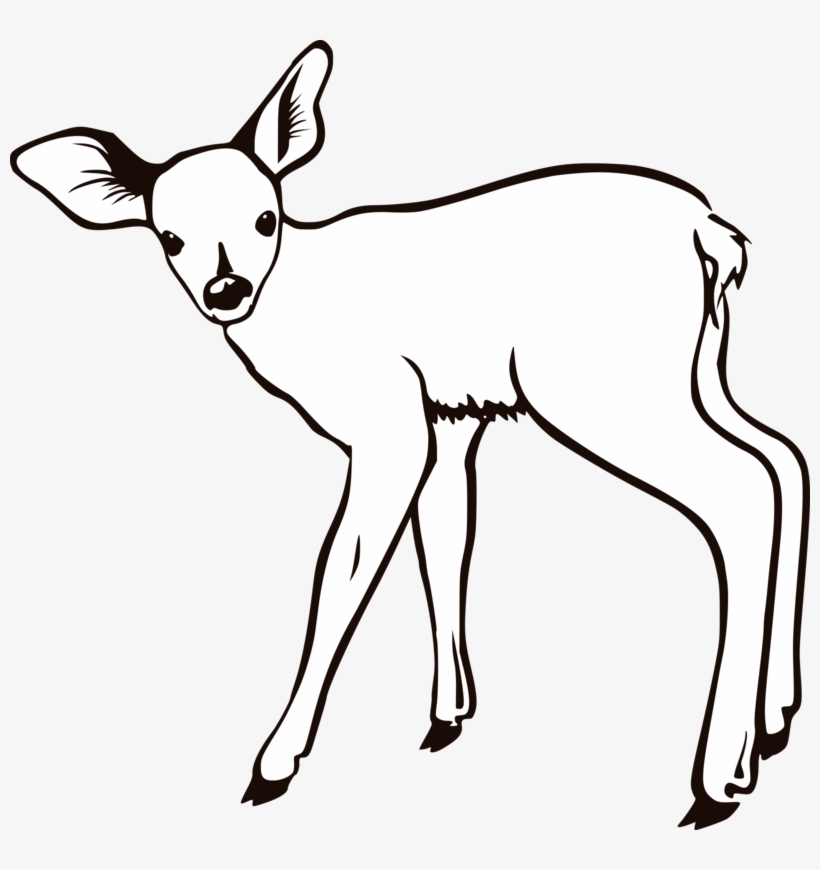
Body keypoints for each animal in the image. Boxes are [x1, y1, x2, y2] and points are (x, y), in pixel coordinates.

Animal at [10, 41, 810, 830]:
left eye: (267, 217)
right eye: (169, 236)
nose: (226, 290)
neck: (303, 311)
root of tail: (709, 231)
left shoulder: (386, 420)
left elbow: (341, 569)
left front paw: (274, 763)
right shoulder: (450, 418)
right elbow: (446, 541)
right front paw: (447, 714)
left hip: (602, 386)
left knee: (741, 487)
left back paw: (720, 776)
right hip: (697, 371)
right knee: (782, 457)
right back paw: (776, 718)